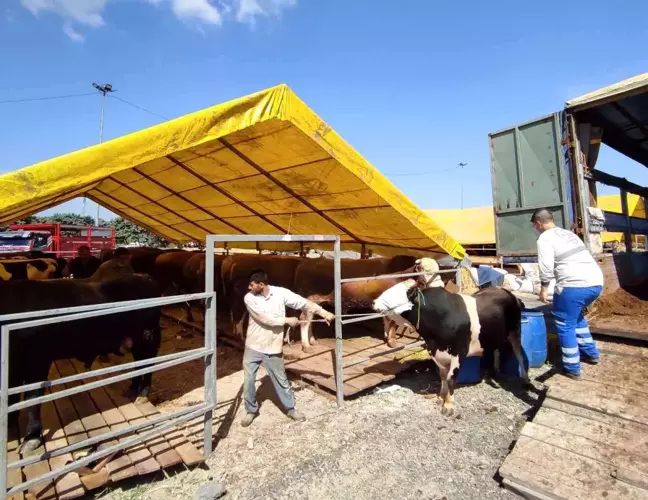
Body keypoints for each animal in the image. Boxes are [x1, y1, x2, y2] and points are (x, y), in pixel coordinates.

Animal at [0, 274, 162, 454]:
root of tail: (144, 277)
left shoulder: (38, 361)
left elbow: (32, 399)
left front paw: (31, 440)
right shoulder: (13, 367)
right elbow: (12, 397)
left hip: (148, 337)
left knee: (149, 364)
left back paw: (142, 395)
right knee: (139, 363)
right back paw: (132, 388)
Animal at [372, 280, 528, 416]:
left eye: (394, 292)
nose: (373, 302)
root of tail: (506, 291)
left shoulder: (459, 352)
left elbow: (451, 378)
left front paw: (448, 405)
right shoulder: (436, 352)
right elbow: (442, 376)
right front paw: (442, 395)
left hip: (515, 331)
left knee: (519, 354)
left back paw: (525, 380)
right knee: (496, 350)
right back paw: (496, 372)